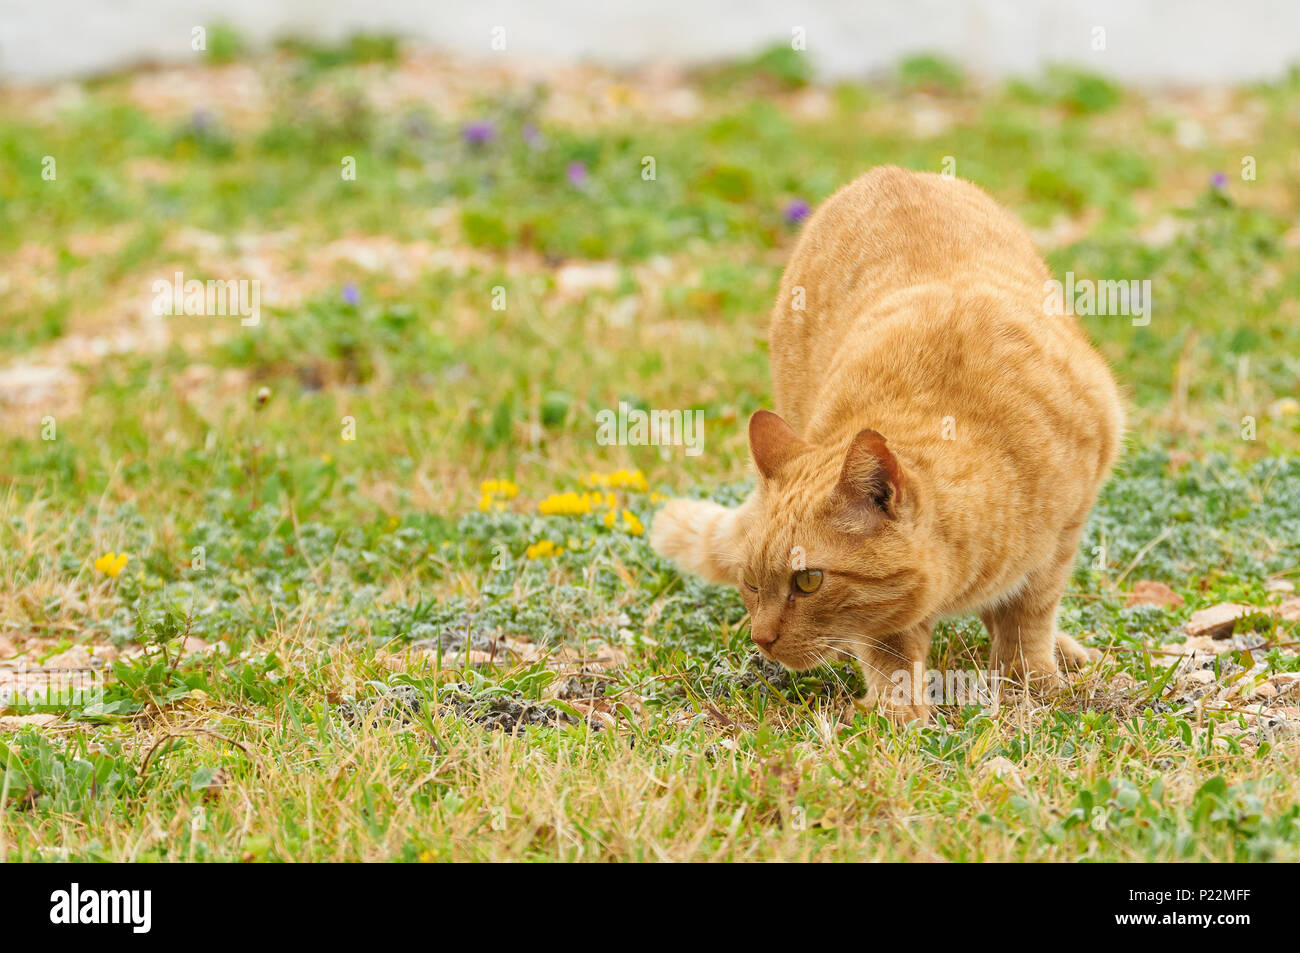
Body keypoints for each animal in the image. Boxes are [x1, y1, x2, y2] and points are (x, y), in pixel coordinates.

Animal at [655, 163, 1123, 717]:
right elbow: (892, 647)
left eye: (808, 581)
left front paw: (1030, 679)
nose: (761, 640)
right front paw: (897, 713)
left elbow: (1029, 615)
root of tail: (887, 173)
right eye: (751, 583)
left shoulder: (1062, 537)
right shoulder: (890, 617)